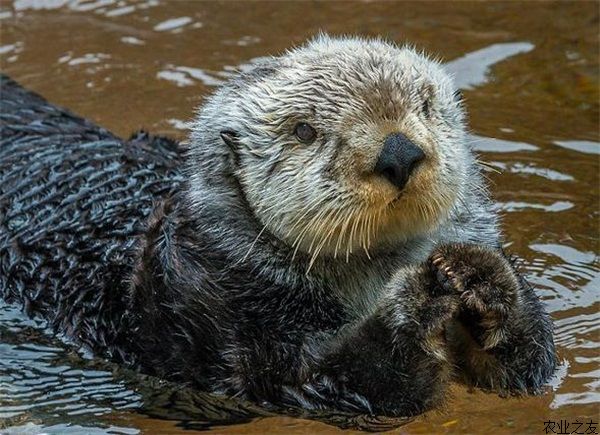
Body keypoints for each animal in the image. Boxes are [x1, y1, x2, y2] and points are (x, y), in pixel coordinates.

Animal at [0, 35, 556, 418]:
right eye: (304, 131)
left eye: (424, 106)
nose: (399, 151)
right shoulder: (209, 313)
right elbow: (314, 382)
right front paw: (416, 303)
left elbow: (533, 368)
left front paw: (482, 275)